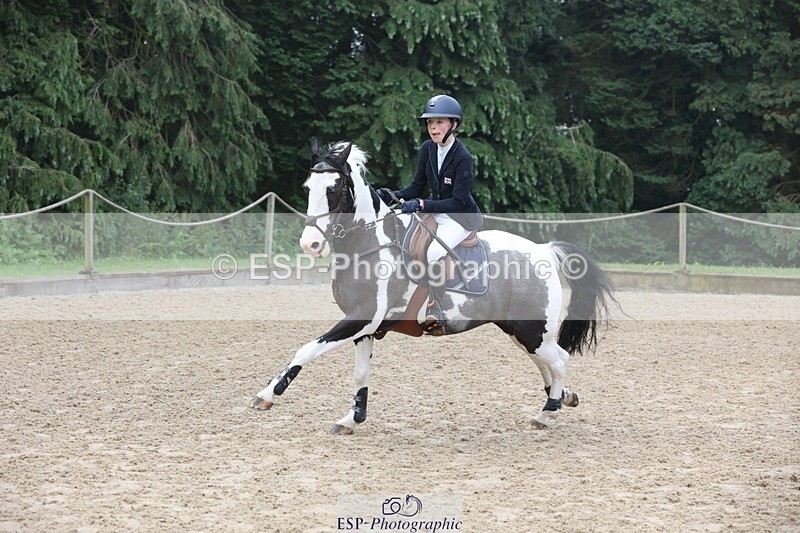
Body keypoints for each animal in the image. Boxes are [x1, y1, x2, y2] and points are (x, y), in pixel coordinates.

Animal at [249, 138, 615, 433]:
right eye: (307, 187)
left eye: (334, 189)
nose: (310, 244)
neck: (367, 244)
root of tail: (545, 249)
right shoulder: (365, 325)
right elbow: (361, 374)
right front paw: (352, 419)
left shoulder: (361, 317)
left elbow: (306, 349)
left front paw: (266, 395)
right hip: (519, 331)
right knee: (546, 363)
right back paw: (563, 397)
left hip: (532, 330)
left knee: (559, 360)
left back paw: (547, 412)